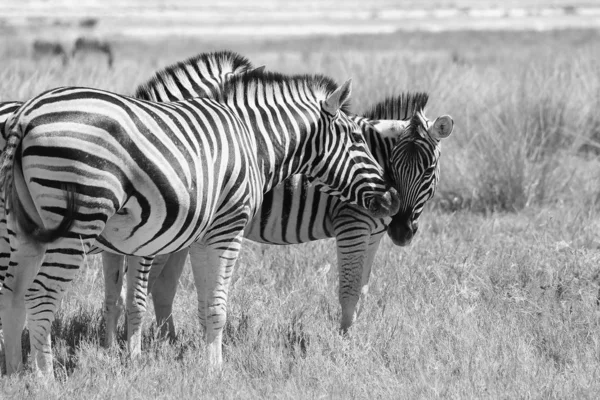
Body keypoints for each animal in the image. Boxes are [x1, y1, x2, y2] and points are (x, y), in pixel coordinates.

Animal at [0, 71, 400, 376]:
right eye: (357, 139)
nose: (391, 200)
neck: (253, 142)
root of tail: (26, 114)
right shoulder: (227, 230)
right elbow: (217, 306)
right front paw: (216, 370)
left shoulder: (199, 236)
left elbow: (197, 303)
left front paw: (200, 361)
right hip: (77, 220)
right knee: (40, 294)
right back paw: (46, 378)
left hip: (24, 229)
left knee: (14, 294)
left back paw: (17, 372)